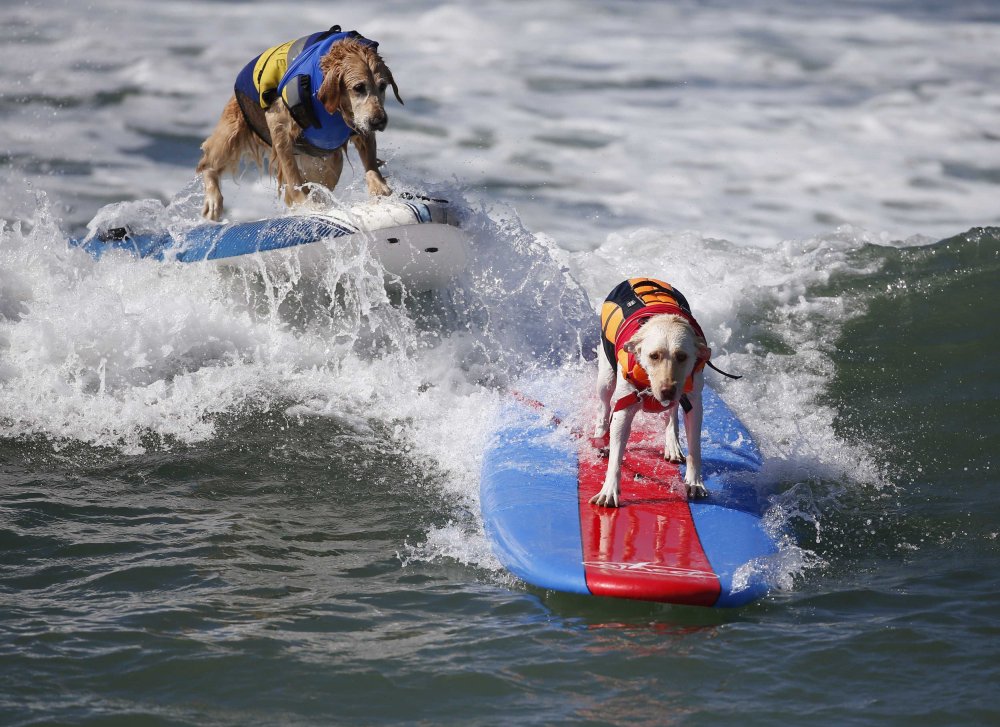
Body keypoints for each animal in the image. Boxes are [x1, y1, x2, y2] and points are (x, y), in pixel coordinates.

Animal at [592, 276, 712, 510]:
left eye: (682, 356)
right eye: (654, 355)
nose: (667, 391)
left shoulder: (694, 403)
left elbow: (695, 446)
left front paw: (694, 482)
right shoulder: (624, 407)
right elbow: (616, 454)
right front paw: (609, 489)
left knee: (672, 414)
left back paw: (672, 442)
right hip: (606, 377)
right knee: (604, 406)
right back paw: (601, 436)